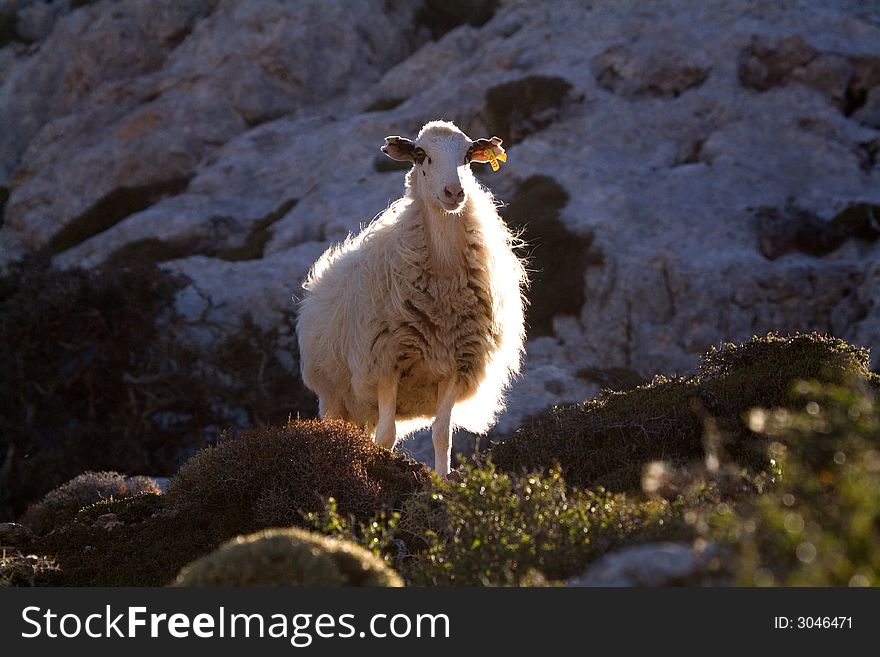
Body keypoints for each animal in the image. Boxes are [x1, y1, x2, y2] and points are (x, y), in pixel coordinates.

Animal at [296, 120, 528, 474]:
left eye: (468, 155)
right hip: (334, 393)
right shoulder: (386, 364)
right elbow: (387, 437)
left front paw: (443, 479)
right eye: (420, 155)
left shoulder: (455, 367)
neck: (444, 278)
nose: (454, 193)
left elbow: (442, 435)